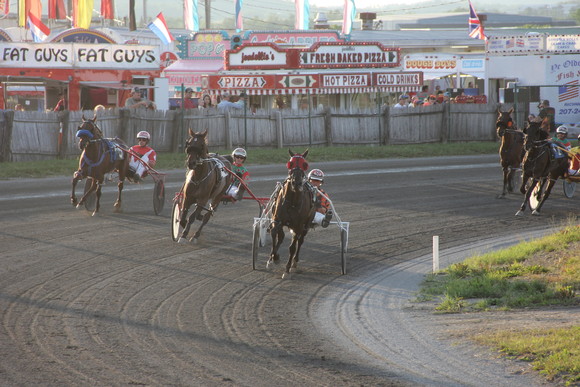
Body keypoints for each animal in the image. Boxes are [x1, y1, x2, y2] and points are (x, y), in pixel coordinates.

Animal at [268, 149, 318, 278]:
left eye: (304, 164)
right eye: (290, 164)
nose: (296, 183)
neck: (292, 202)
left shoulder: (298, 226)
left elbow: (292, 247)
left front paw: (287, 269)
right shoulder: (277, 220)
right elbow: (274, 234)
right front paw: (274, 258)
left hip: (306, 225)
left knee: (300, 242)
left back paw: (294, 262)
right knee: (281, 237)